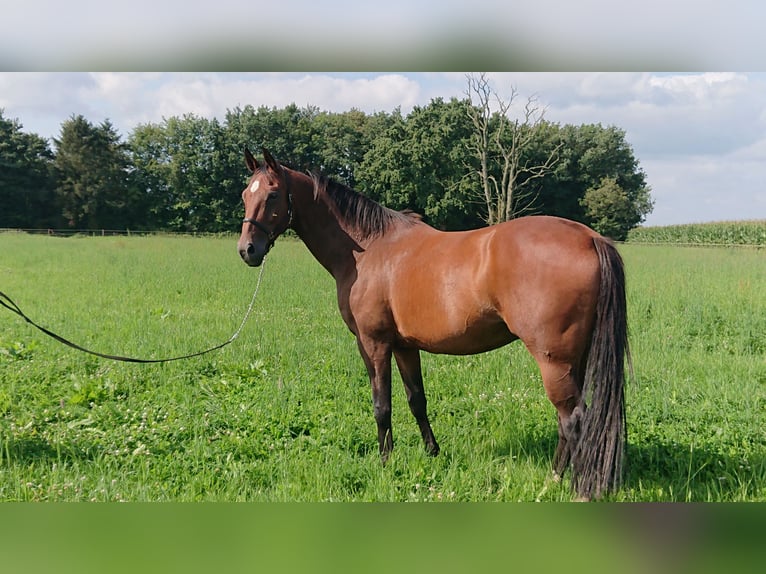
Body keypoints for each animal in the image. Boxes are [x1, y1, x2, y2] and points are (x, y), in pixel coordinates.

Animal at [238, 147, 632, 500]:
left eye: (272, 194)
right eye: (245, 195)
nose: (247, 250)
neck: (369, 250)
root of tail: (590, 238)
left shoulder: (373, 343)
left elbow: (382, 405)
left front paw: (385, 462)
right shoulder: (404, 346)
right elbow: (417, 400)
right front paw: (432, 453)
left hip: (553, 361)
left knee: (574, 419)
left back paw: (578, 489)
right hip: (574, 359)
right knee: (570, 421)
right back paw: (554, 479)